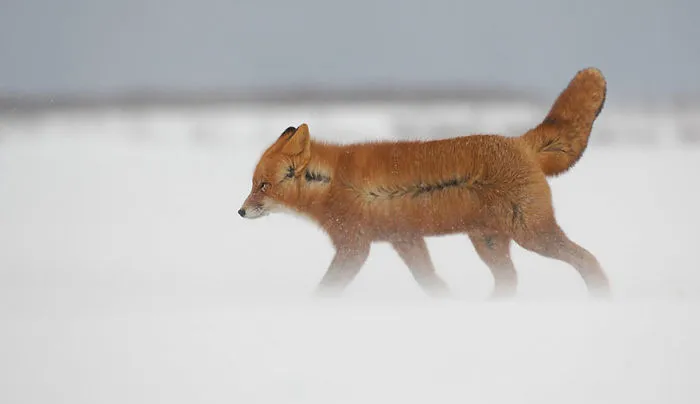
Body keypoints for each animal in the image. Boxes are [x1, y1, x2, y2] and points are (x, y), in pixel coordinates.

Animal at [238, 67, 611, 299]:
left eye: (263, 186)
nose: (240, 212)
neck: (332, 184)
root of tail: (520, 142)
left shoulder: (355, 246)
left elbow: (326, 289)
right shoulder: (405, 239)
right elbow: (431, 282)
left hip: (531, 234)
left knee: (588, 259)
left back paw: (602, 297)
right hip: (489, 242)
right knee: (510, 281)